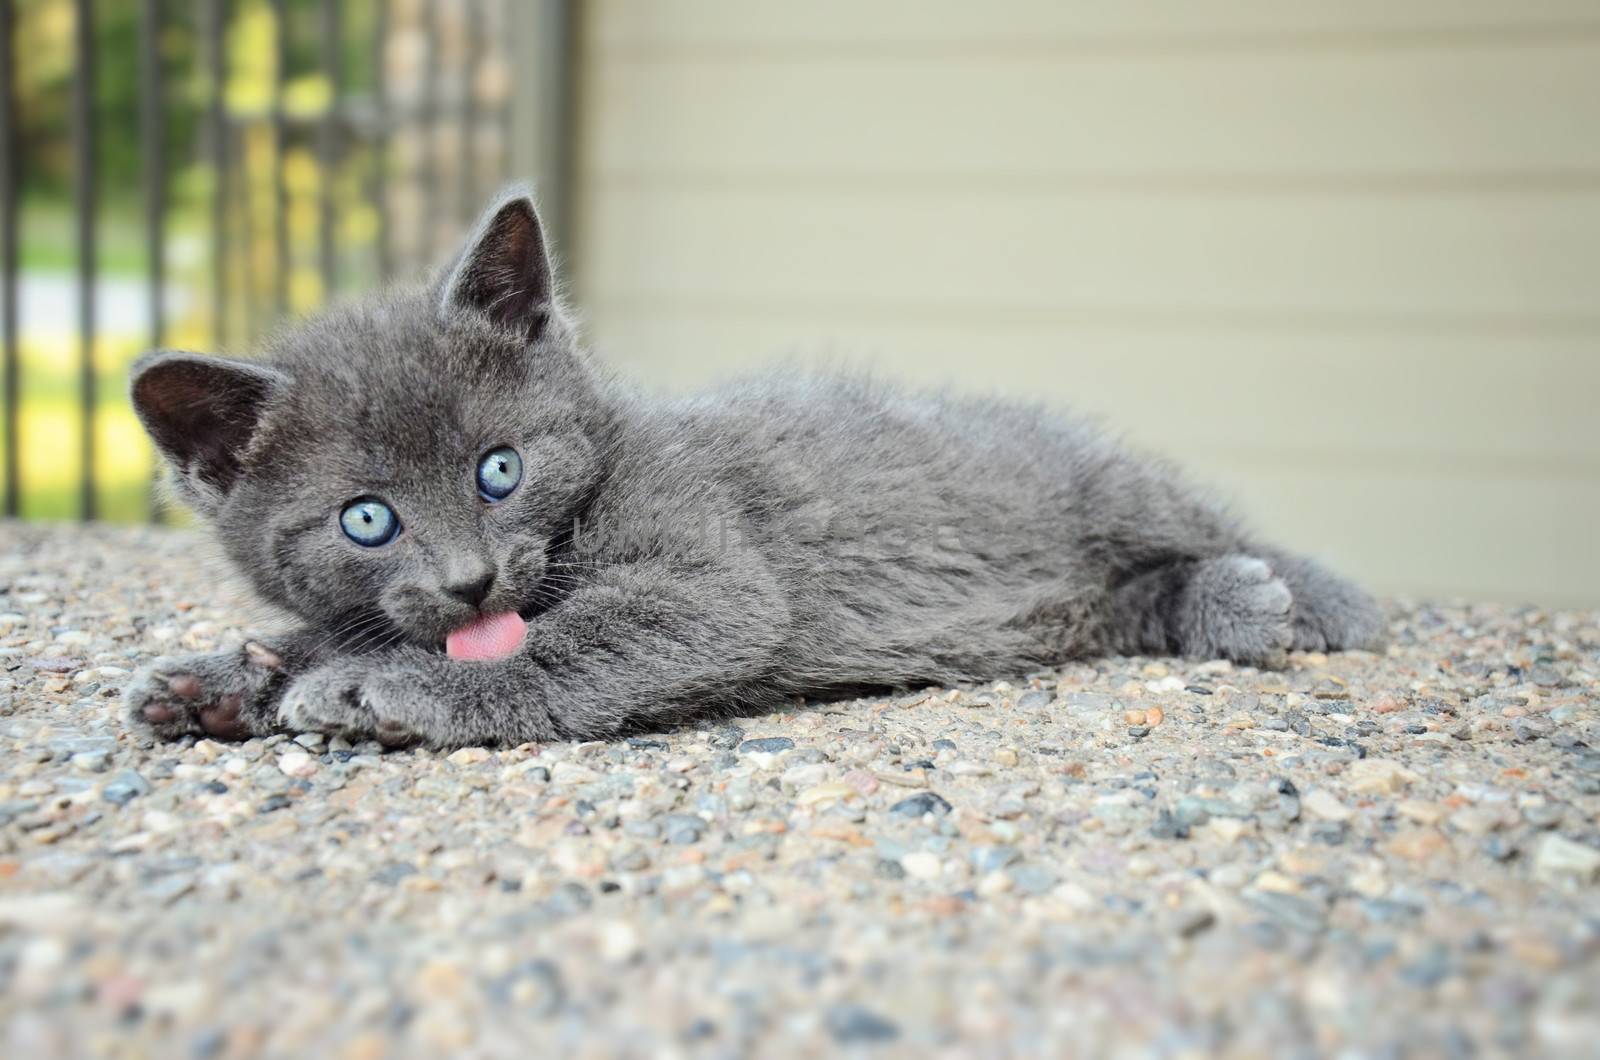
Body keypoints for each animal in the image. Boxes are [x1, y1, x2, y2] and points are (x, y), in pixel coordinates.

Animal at [124, 192, 1382, 755]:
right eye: (368, 519)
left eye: (499, 467)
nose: (472, 582)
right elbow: (328, 630)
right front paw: (224, 677)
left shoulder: (705, 574)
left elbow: (557, 647)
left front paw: (373, 690)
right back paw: (1229, 602)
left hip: (1098, 480)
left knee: (1202, 520)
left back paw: (1305, 597)